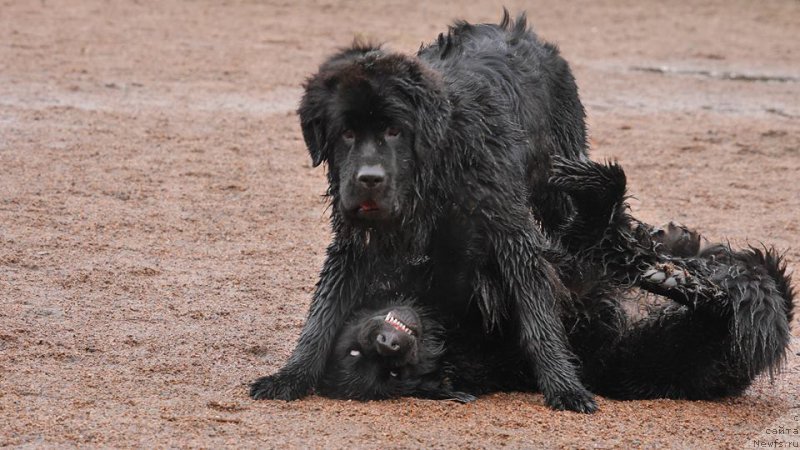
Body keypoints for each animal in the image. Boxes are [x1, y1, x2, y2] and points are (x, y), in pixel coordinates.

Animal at [252, 11, 600, 412]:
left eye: (394, 130)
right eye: (347, 134)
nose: (368, 178)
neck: (432, 172)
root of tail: (518, 28)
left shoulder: (508, 228)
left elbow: (537, 316)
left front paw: (564, 385)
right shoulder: (355, 241)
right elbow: (323, 314)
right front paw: (291, 375)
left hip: (557, 184)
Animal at [318, 157, 792, 400]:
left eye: (360, 351)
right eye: (385, 373)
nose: (387, 343)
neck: (444, 331)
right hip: (675, 343)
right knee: (706, 294)